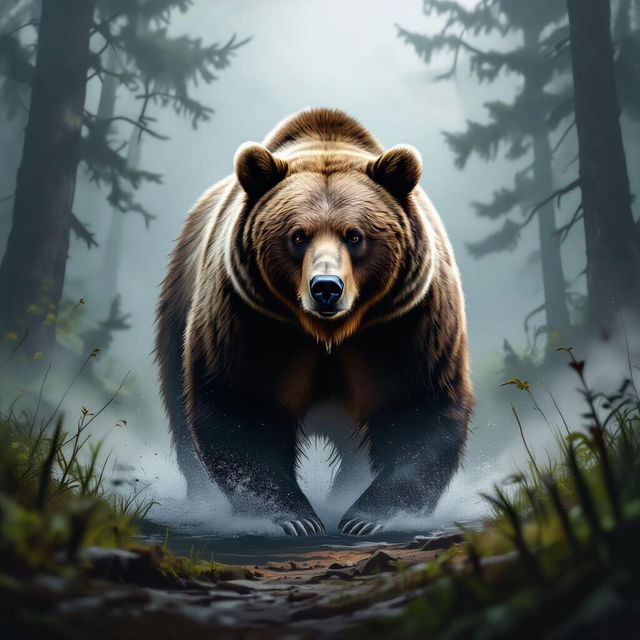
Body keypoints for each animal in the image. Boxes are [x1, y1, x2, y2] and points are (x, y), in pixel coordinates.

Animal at [155, 108, 473, 536]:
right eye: (298, 235)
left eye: (355, 236)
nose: (326, 288)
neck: (329, 333)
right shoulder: (250, 316)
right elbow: (243, 401)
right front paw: (294, 517)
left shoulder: (405, 320)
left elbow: (415, 402)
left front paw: (367, 518)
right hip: (179, 306)